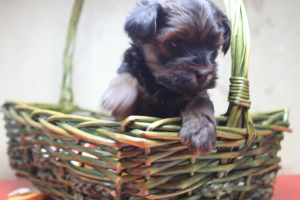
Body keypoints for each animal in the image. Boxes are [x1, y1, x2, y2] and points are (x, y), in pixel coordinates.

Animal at [102, 0, 231, 154]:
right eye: (174, 42)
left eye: (214, 48)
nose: (203, 74)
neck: (163, 86)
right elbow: (126, 75)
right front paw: (118, 95)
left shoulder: (196, 90)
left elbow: (202, 100)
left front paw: (201, 129)